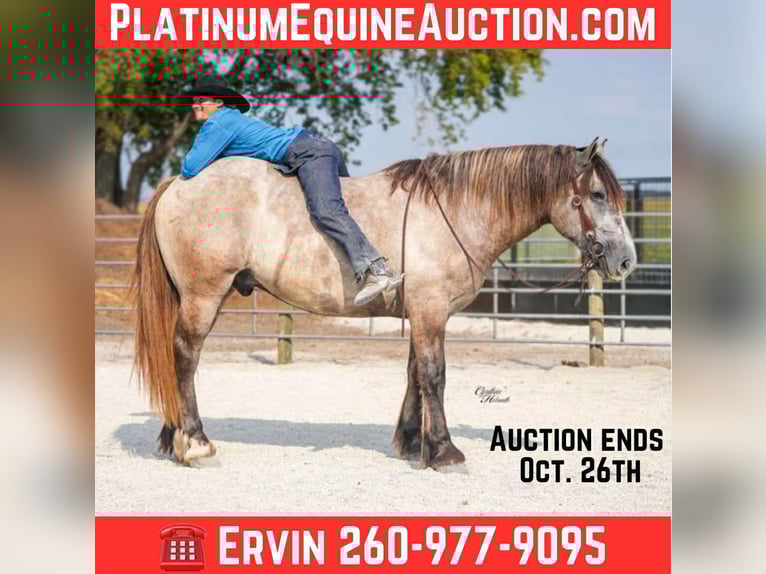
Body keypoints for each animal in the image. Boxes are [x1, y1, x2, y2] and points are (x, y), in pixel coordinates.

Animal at [131, 137, 636, 470]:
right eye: (596, 194)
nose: (626, 260)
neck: (455, 209)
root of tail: (178, 184)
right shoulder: (431, 311)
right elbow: (434, 376)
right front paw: (445, 451)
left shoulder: (423, 313)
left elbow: (415, 375)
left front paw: (414, 444)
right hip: (204, 294)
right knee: (184, 355)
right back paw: (195, 442)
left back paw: (173, 437)